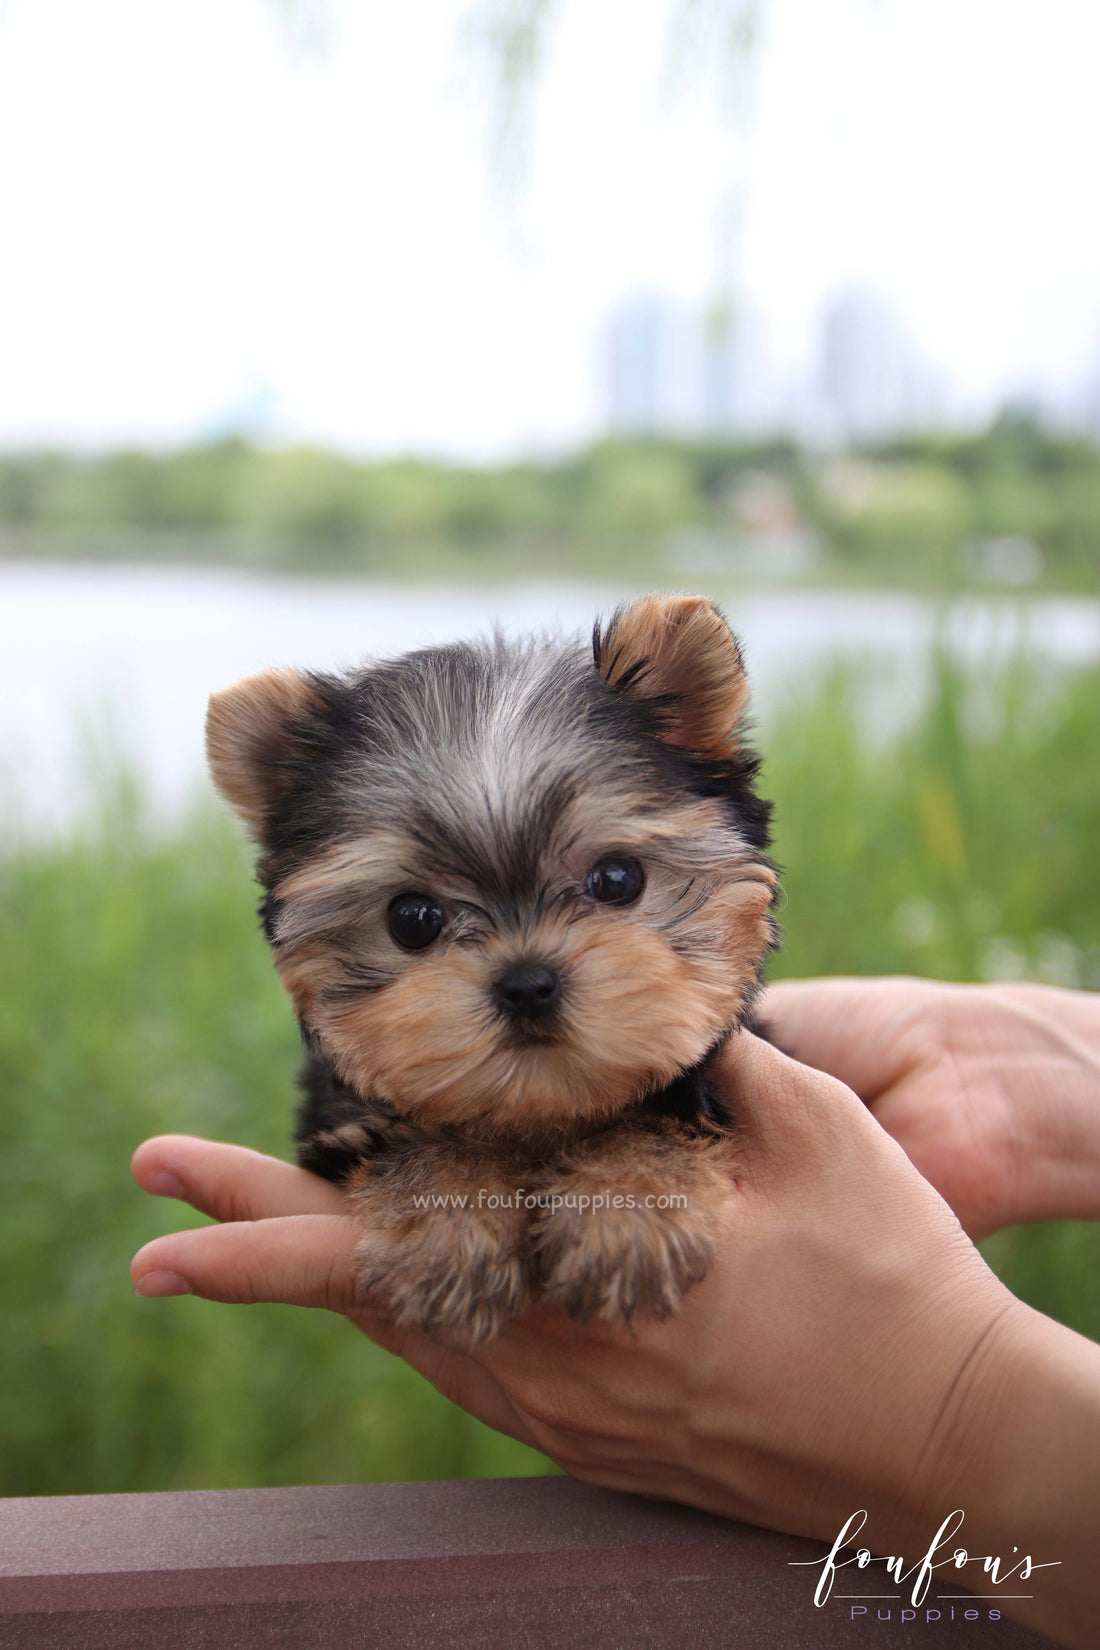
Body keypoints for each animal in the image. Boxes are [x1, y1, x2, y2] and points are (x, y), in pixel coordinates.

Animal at [204, 594, 775, 1339]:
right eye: (412, 919)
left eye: (618, 878)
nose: (527, 984)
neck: (539, 1111)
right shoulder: (338, 1129)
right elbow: (419, 1141)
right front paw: (449, 1233)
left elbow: (650, 1121)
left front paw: (628, 1217)